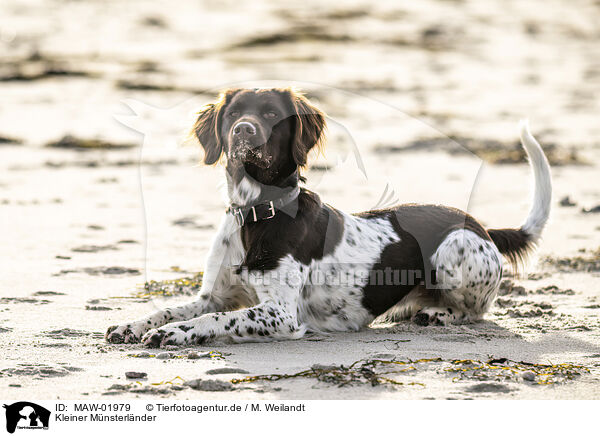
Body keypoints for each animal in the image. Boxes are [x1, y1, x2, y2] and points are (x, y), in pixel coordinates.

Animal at [105, 87, 552, 348]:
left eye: (271, 115)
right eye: (233, 114)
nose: (244, 131)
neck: (257, 214)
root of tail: (482, 226)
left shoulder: (280, 313)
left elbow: (216, 319)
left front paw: (172, 334)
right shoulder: (213, 294)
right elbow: (172, 308)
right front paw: (135, 325)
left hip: (452, 252)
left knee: (477, 312)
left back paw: (437, 314)